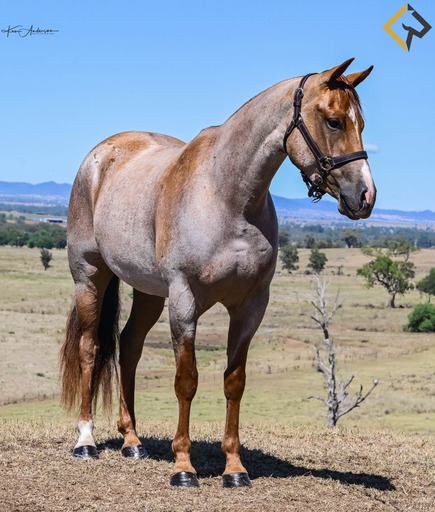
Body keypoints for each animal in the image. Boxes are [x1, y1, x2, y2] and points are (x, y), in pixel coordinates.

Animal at [61, 58, 376, 488]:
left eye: (361, 123)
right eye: (333, 121)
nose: (365, 196)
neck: (227, 195)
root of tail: (98, 157)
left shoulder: (250, 306)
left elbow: (234, 382)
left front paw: (234, 468)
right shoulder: (184, 300)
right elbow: (186, 380)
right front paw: (183, 467)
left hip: (148, 293)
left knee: (129, 348)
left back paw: (132, 441)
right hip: (91, 278)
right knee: (90, 348)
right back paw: (86, 441)